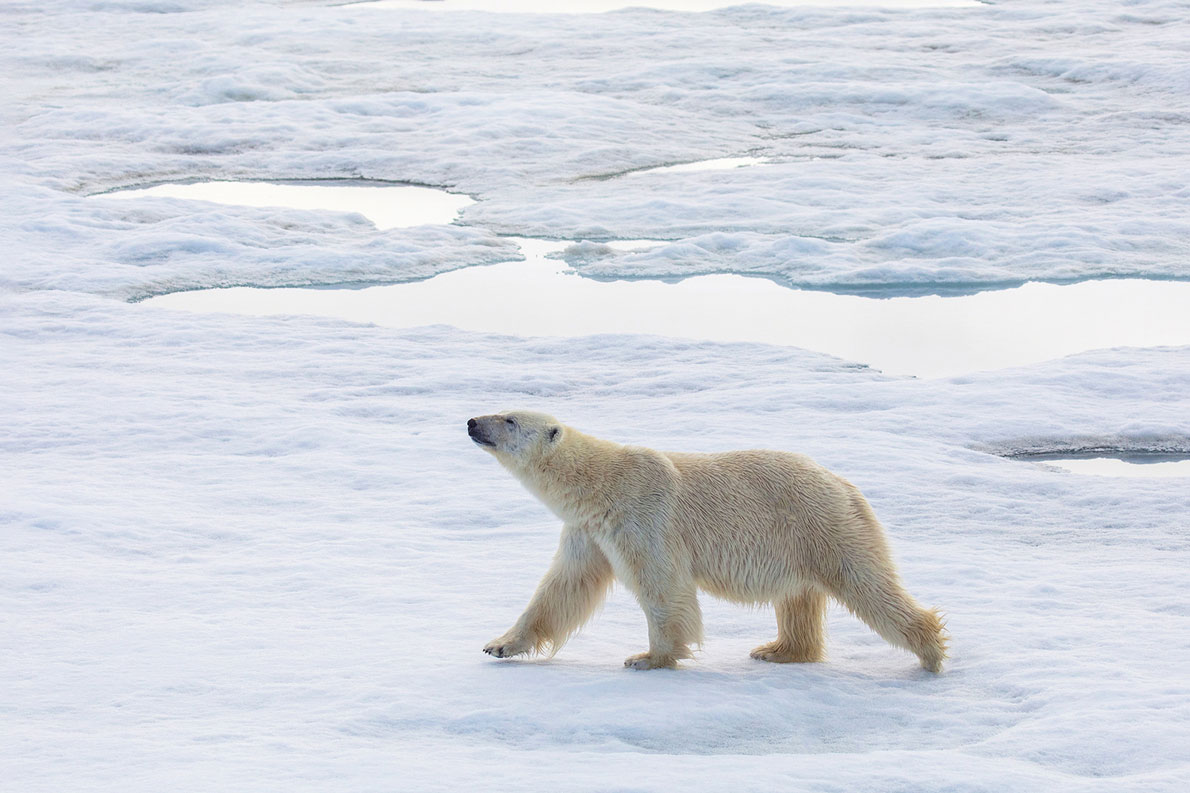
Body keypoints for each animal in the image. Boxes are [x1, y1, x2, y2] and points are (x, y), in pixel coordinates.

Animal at [468, 410, 947, 673]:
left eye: (510, 419)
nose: (472, 422)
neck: (601, 484)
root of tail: (847, 485)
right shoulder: (588, 533)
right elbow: (562, 588)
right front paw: (499, 644)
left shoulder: (644, 518)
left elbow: (663, 587)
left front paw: (647, 657)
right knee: (798, 598)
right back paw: (777, 650)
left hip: (821, 524)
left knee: (866, 584)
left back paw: (930, 652)